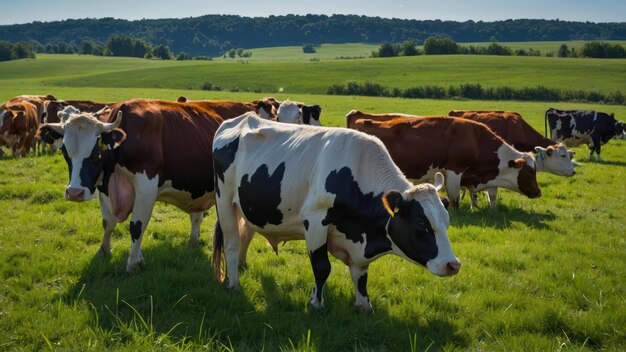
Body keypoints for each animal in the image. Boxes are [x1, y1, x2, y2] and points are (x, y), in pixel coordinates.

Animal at [37, 99, 223, 272]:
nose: (75, 193)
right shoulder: (104, 188)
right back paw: (193, 242)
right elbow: (107, 222)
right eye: (65, 152)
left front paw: (134, 263)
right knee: (196, 216)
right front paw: (104, 250)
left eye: (96, 153)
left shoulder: (146, 186)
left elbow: (136, 226)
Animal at [211, 113, 458, 310]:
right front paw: (316, 303)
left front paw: (364, 305)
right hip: (224, 201)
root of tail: (240, 119)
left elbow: (361, 274)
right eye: (421, 223)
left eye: (446, 221)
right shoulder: (315, 221)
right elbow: (322, 267)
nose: (453, 265)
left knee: (245, 235)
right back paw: (233, 284)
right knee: (232, 243)